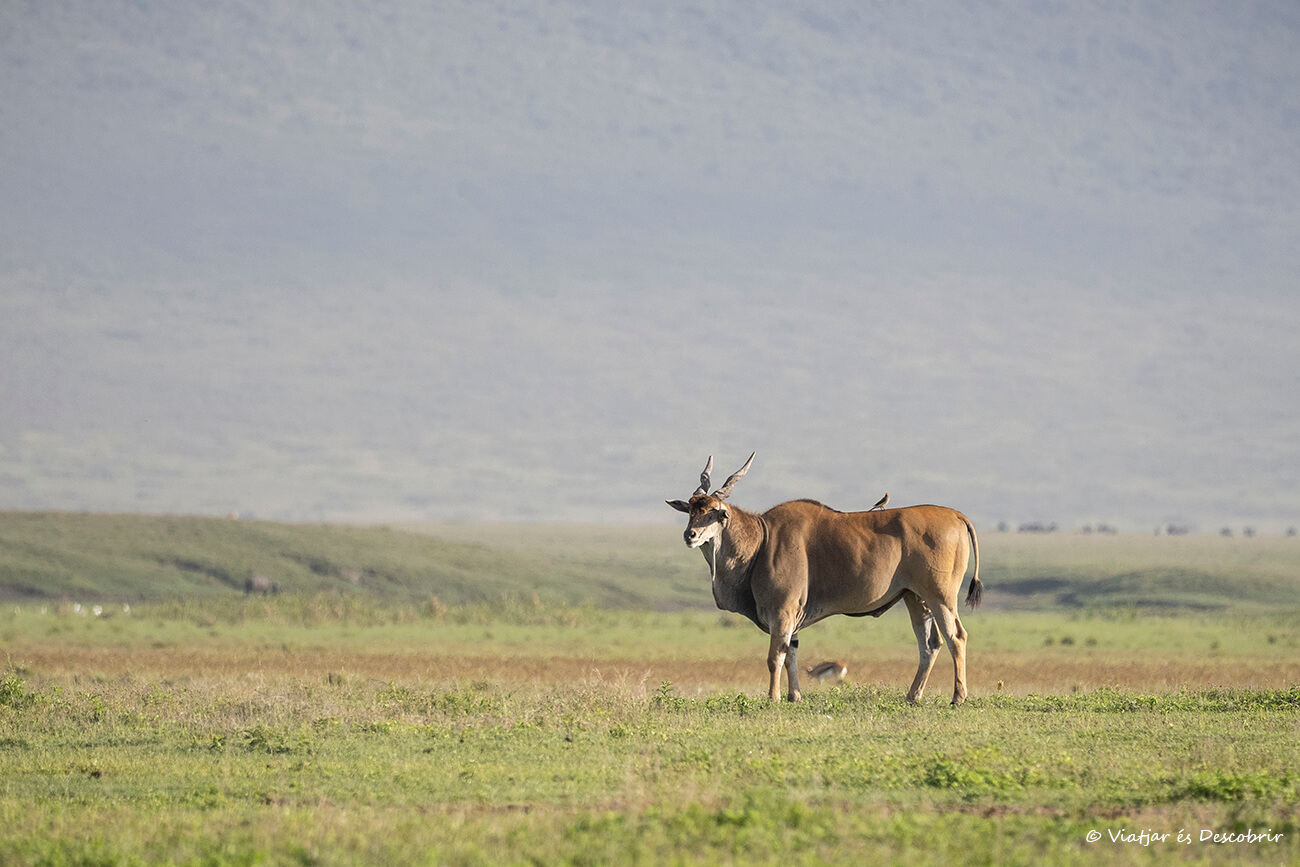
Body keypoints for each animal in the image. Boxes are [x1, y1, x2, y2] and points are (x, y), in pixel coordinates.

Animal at [668, 454, 983, 706]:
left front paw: (774, 698)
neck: (762, 539)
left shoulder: (782, 611)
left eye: (715, 512)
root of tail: (957, 516)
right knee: (929, 645)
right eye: (691, 509)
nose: (689, 535)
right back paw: (912, 696)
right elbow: (791, 654)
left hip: (940, 596)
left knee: (956, 637)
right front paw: (794, 697)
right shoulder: (791, 618)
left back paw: (957, 697)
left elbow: (775, 657)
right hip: (915, 598)